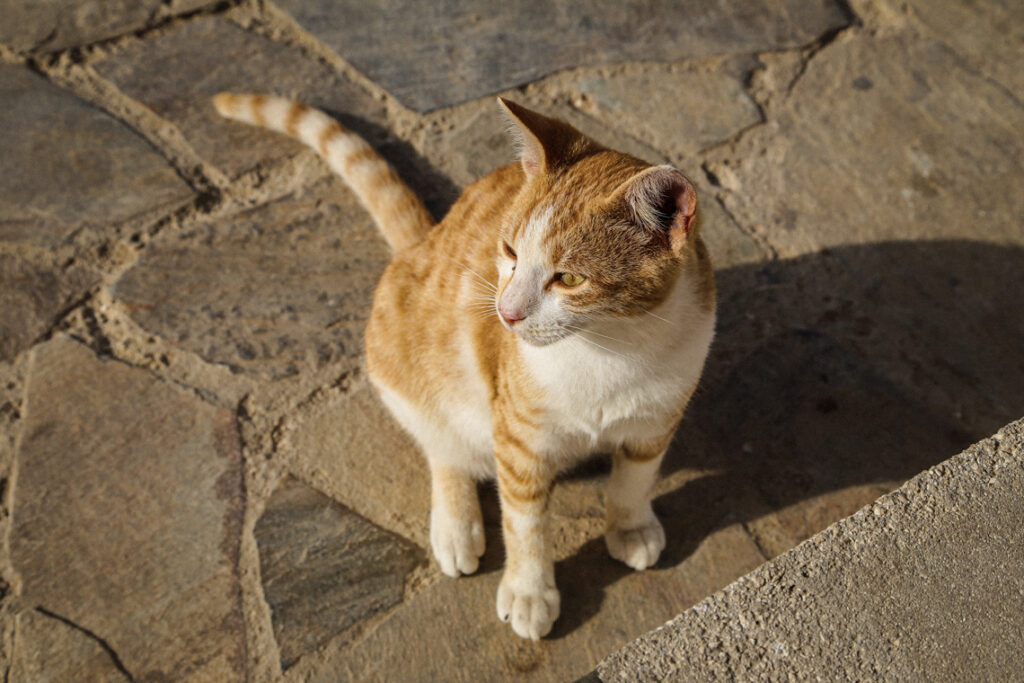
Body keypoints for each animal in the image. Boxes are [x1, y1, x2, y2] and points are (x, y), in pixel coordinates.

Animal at [212, 92, 716, 643]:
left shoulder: (656, 421)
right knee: (443, 448)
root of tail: (422, 240)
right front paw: (529, 592)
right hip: (413, 380)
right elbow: (525, 525)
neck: (610, 346)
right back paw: (456, 525)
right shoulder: (518, 441)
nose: (506, 314)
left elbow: (634, 480)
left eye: (569, 278)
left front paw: (629, 526)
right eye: (510, 251)